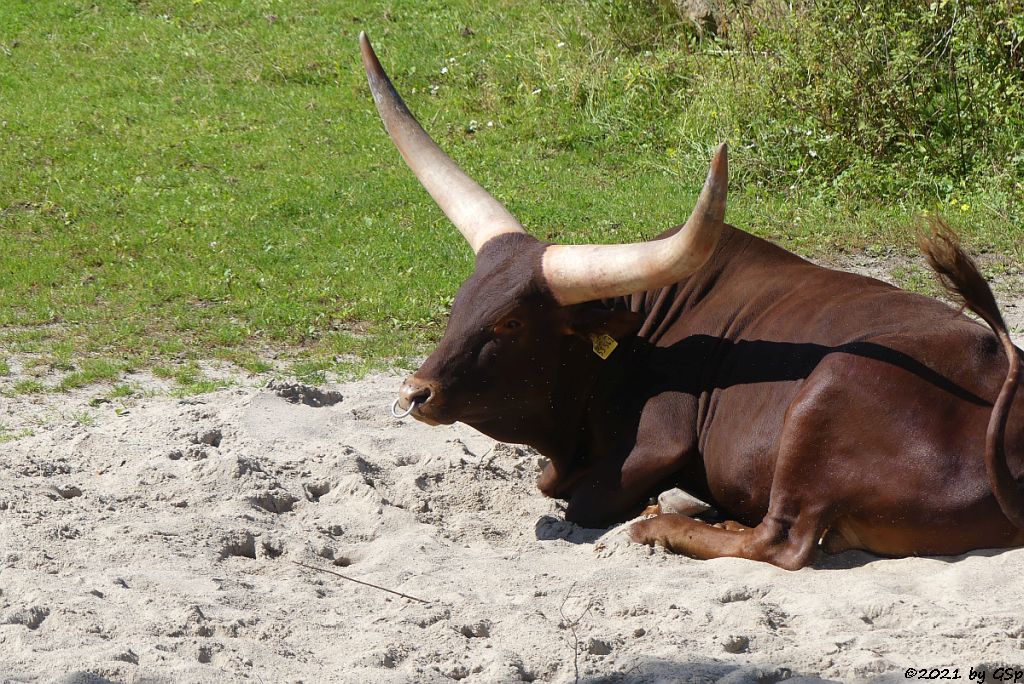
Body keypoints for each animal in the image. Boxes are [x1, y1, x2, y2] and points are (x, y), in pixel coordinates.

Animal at [360, 31, 1024, 569]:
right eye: (461, 303)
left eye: (512, 323)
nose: (415, 393)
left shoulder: (655, 443)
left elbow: (579, 500)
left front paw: (658, 506)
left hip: (828, 390)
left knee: (780, 542)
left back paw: (666, 526)